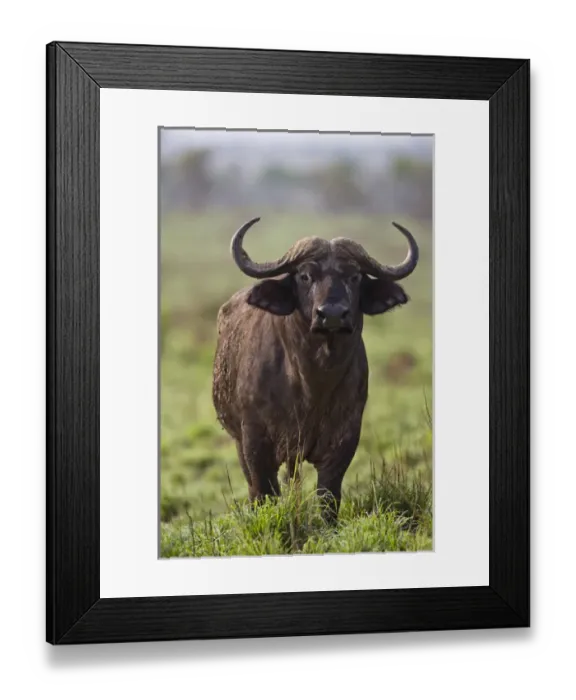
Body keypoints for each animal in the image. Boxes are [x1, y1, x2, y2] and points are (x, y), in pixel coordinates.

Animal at [212, 217, 419, 522]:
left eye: (354, 276)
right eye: (305, 276)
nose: (331, 314)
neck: (311, 382)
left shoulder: (344, 438)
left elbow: (328, 496)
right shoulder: (254, 439)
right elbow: (264, 492)